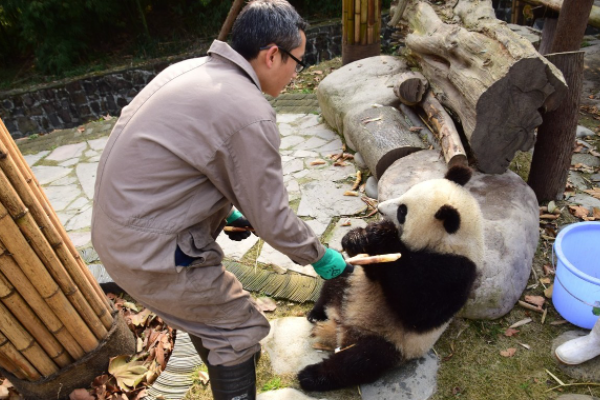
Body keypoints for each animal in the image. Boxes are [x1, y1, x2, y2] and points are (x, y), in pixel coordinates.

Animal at [298, 165, 486, 390]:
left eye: (402, 211)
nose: (380, 209)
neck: (450, 244)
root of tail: (341, 327)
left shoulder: (455, 272)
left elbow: (418, 308)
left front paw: (383, 234)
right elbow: (374, 271)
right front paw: (357, 237)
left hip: (392, 343)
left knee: (360, 361)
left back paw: (312, 375)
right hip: (352, 282)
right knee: (338, 280)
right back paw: (316, 313)